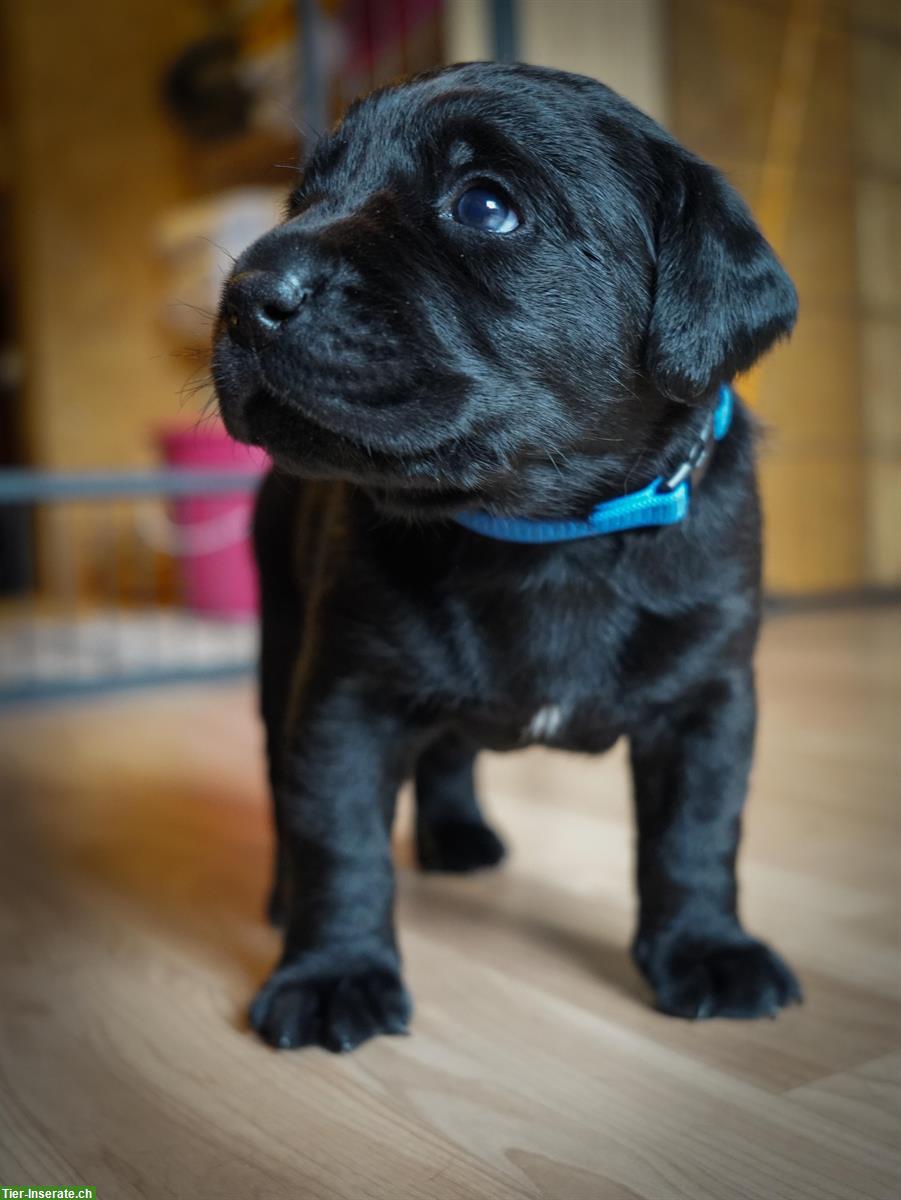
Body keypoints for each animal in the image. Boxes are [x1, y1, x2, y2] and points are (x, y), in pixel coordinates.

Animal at [213, 60, 801, 1051]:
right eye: (302, 199)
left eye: (484, 206)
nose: (247, 290)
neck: (542, 533)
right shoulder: (344, 695)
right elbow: (338, 837)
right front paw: (332, 973)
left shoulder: (708, 701)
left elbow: (695, 833)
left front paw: (706, 950)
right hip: (282, 646)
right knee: (287, 778)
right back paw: (285, 895)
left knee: (450, 747)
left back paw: (456, 838)